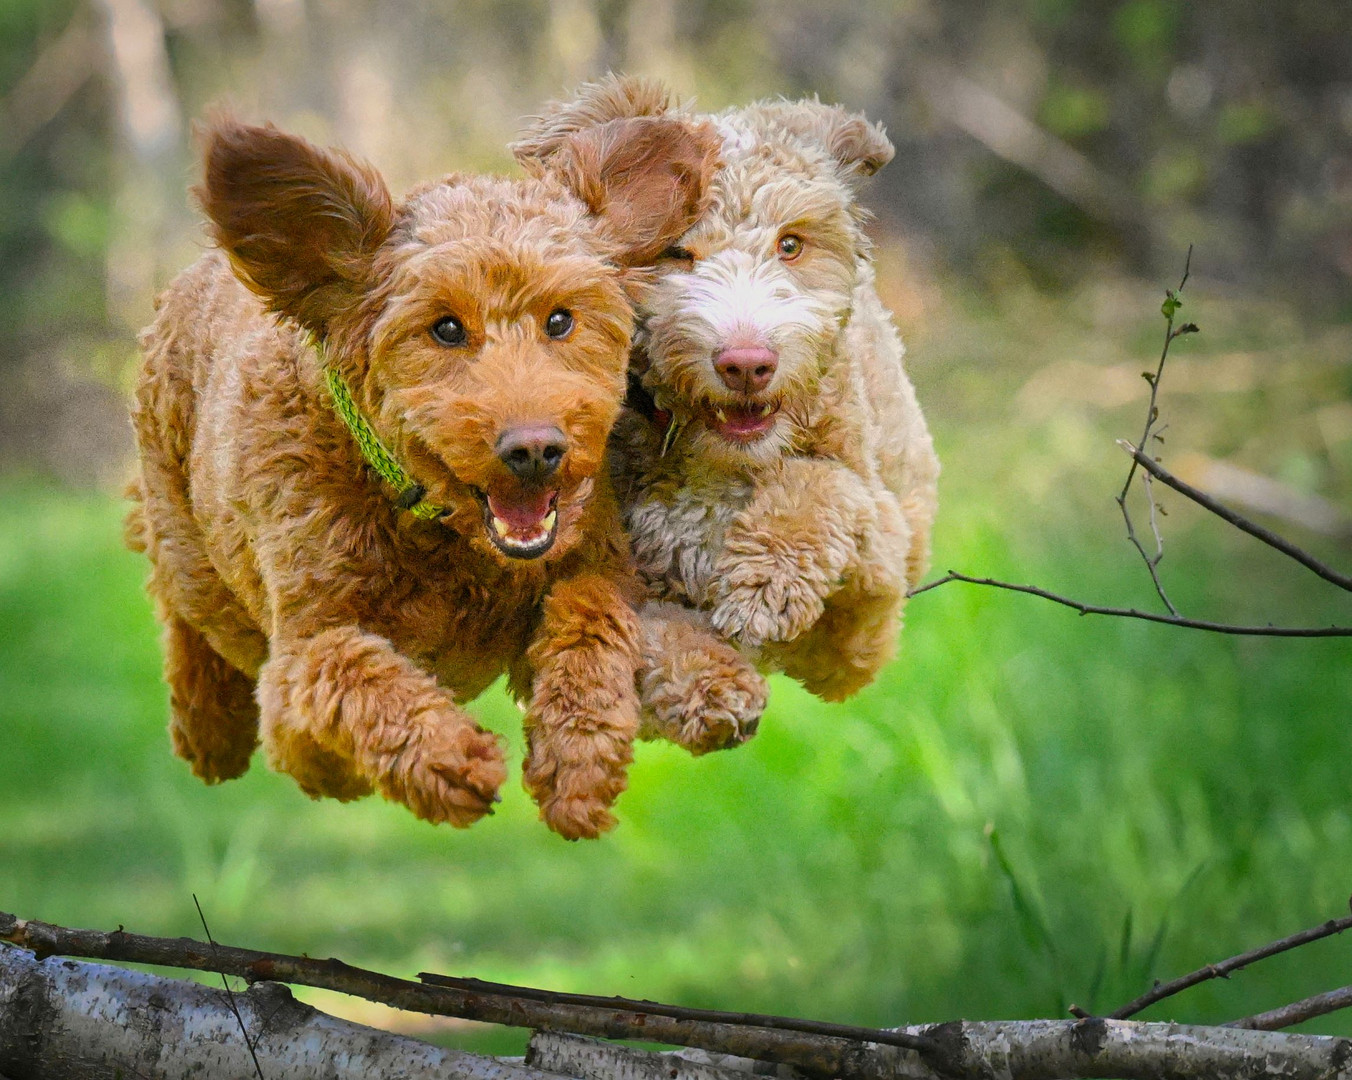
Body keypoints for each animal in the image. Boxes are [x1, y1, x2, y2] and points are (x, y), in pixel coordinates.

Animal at [511, 78, 935, 751]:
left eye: (790, 244)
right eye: (675, 252)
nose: (747, 363)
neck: (715, 461)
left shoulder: (864, 616)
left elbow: (826, 486)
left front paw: (765, 584)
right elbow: (642, 631)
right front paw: (712, 686)